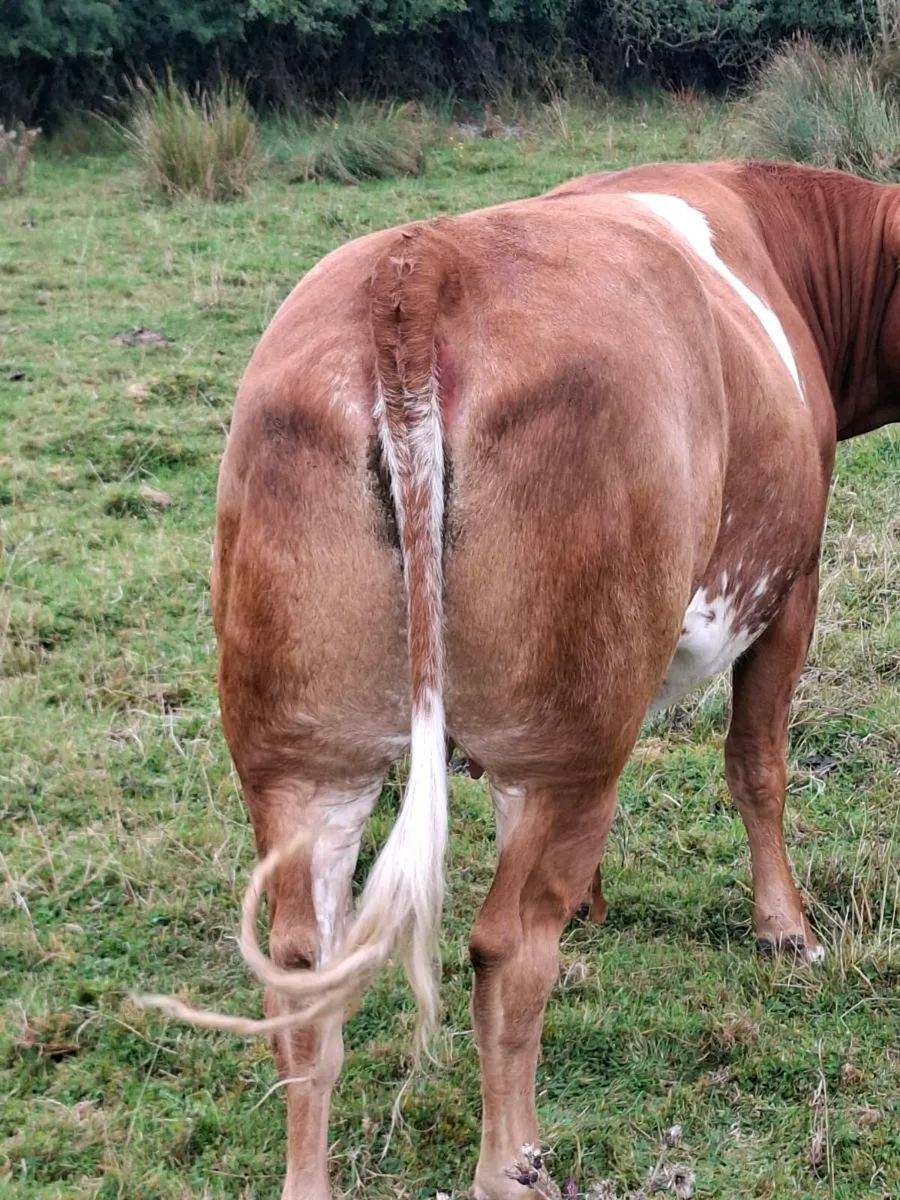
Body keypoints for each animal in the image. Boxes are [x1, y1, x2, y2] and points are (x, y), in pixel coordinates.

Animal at [144, 160, 899, 1199]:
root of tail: (417, 266)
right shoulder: (791, 583)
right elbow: (758, 765)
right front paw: (785, 929)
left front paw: (596, 903)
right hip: (555, 740)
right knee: (507, 951)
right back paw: (513, 1164)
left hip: (301, 751)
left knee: (303, 969)